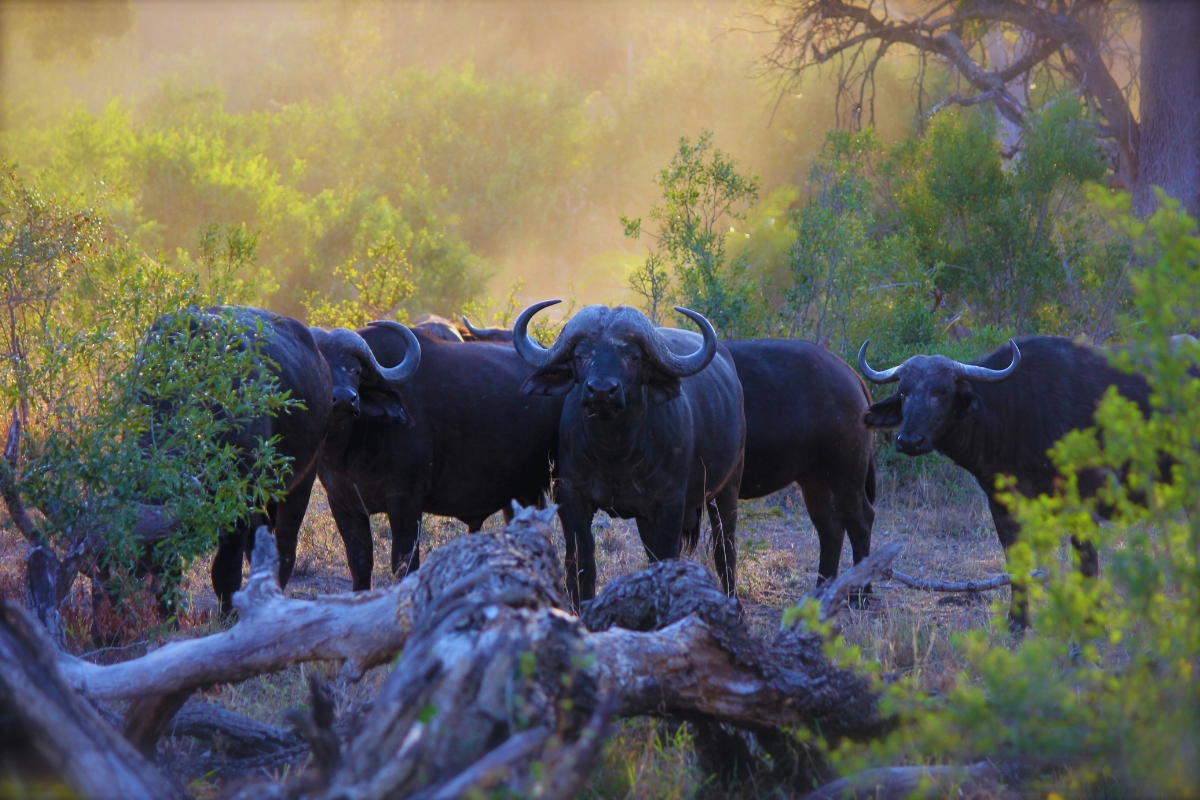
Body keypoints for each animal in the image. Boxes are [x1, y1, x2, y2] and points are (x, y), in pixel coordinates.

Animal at [316, 319, 564, 587]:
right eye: (322, 368)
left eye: (356, 371)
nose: (345, 399)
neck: (348, 451)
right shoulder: (343, 505)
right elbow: (360, 565)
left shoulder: (405, 501)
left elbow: (404, 565)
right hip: (522, 493)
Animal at [513, 299, 744, 606]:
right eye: (581, 355)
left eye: (632, 357)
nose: (601, 391)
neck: (615, 452)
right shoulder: (572, 495)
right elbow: (580, 561)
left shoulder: (671, 502)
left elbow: (666, 557)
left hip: (727, 488)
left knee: (724, 552)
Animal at [859, 335, 1147, 628]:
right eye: (903, 392)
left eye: (942, 392)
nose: (909, 441)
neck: (1014, 411)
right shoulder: (1001, 505)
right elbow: (1016, 558)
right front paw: (1018, 619)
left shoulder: (1085, 502)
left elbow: (1086, 561)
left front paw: (1090, 619)